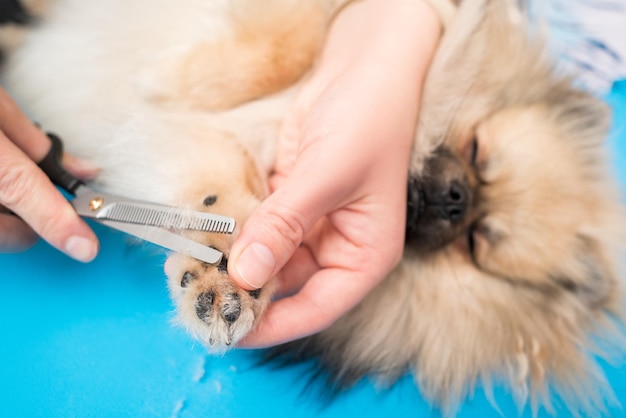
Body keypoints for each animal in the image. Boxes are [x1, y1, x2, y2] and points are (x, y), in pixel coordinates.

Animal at [0, 0, 620, 414]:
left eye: (474, 242)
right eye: (477, 153)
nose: (455, 199)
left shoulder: (211, 153)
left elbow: (215, 196)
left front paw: (220, 277)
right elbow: (288, 39)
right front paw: (176, 79)